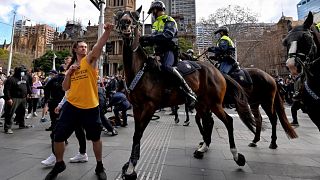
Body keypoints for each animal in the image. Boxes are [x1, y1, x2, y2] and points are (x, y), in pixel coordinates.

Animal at [116, 7, 256, 180]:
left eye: (134, 17)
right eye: (120, 16)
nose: (125, 24)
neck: (141, 70)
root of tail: (218, 72)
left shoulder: (149, 106)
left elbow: (138, 134)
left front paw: (131, 168)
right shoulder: (136, 108)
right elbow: (136, 134)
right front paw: (130, 164)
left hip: (215, 103)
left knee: (228, 121)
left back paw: (237, 156)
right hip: (203, 104)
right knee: (209, 122)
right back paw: (203, 148)